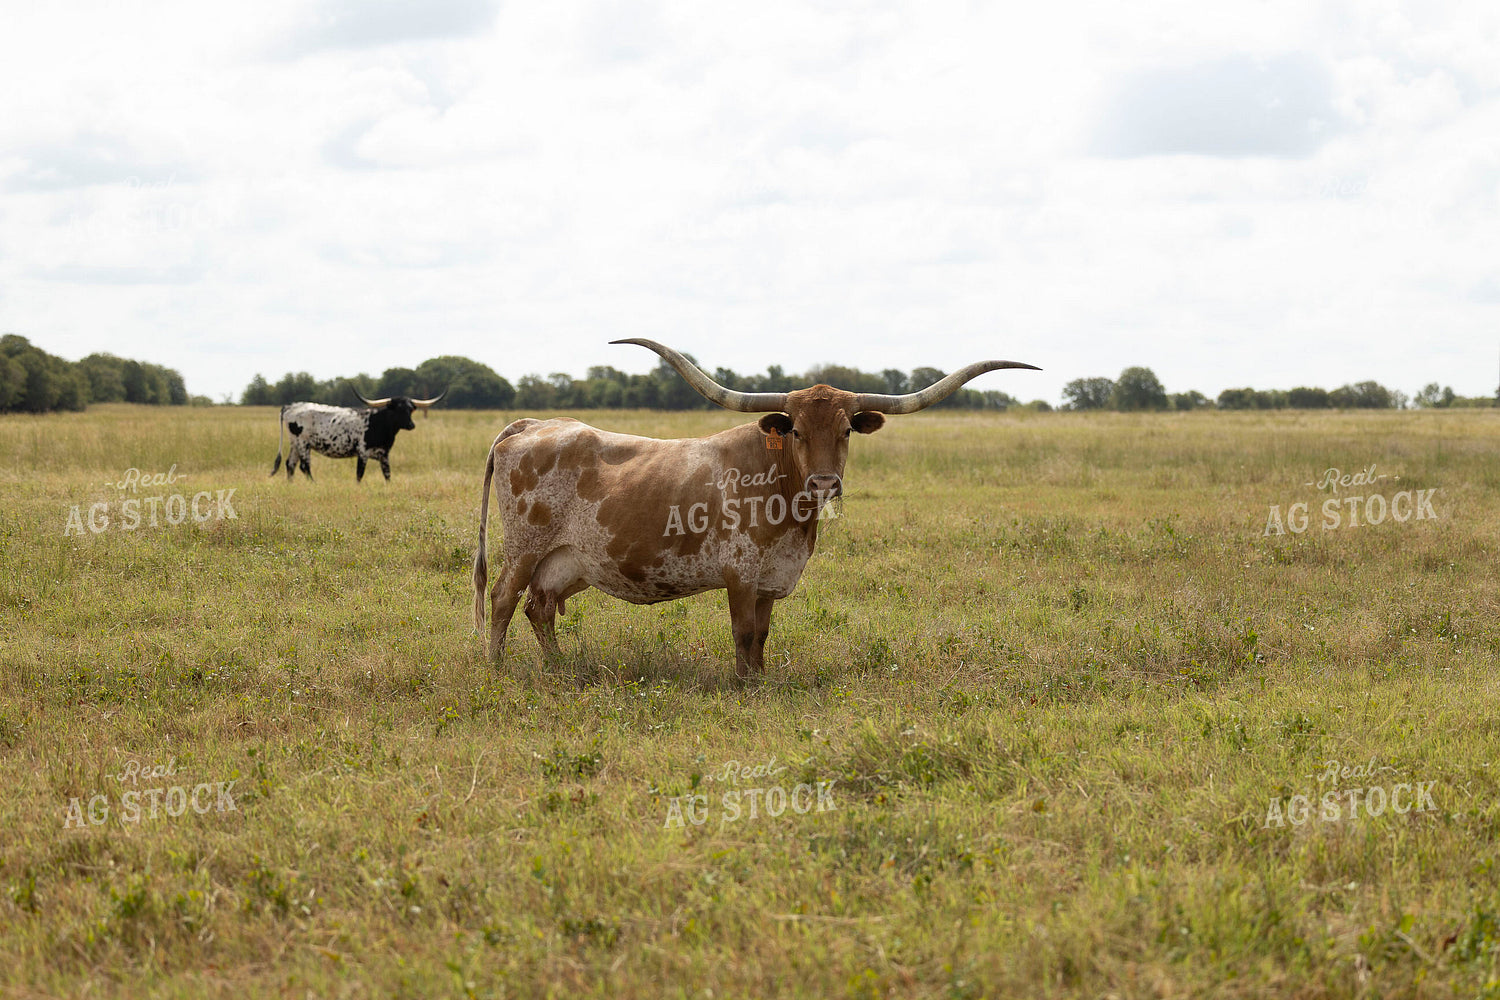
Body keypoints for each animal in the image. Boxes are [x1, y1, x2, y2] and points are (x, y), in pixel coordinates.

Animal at [271, 388, 445, 481]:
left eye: (410, 409)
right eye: (398, 409)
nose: (411, 425)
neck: (378, 423)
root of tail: (291, 406)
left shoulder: (384, 454)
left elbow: (387, 474)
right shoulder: (363, 452)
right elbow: (359, 474)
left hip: (295, 444)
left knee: (290, 464)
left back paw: (291, 484)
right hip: (303, 444)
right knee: (304, 466)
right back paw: (314, 484)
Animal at [471, 339, 1038, 677]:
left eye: (846, 430)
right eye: (798, 431)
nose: (825, 482)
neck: (789, 509)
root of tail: (530, 424)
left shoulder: (770, 580)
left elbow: (762, 634)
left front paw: (761, 680)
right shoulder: (740, 574)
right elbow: (743, 632)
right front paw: (743, 685)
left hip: (567, 562)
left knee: (539, 607)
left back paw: (561, 667)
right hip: (523, 548)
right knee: (502, 600)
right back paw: (497, 669)